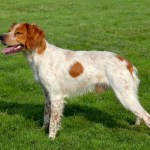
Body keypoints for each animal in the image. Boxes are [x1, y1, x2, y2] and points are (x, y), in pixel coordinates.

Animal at [0, 22, 150, 139]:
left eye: (18, 33)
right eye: (9, 30)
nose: (1, 36)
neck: (40, 55)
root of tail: (127, 62)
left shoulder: (56, 96)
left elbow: (53, 121)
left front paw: (51, 138)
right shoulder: (47, 95)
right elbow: (46, 116)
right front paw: (42, 130)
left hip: (124, 95)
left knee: (146, 116)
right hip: (128, 95)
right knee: (139, 115)